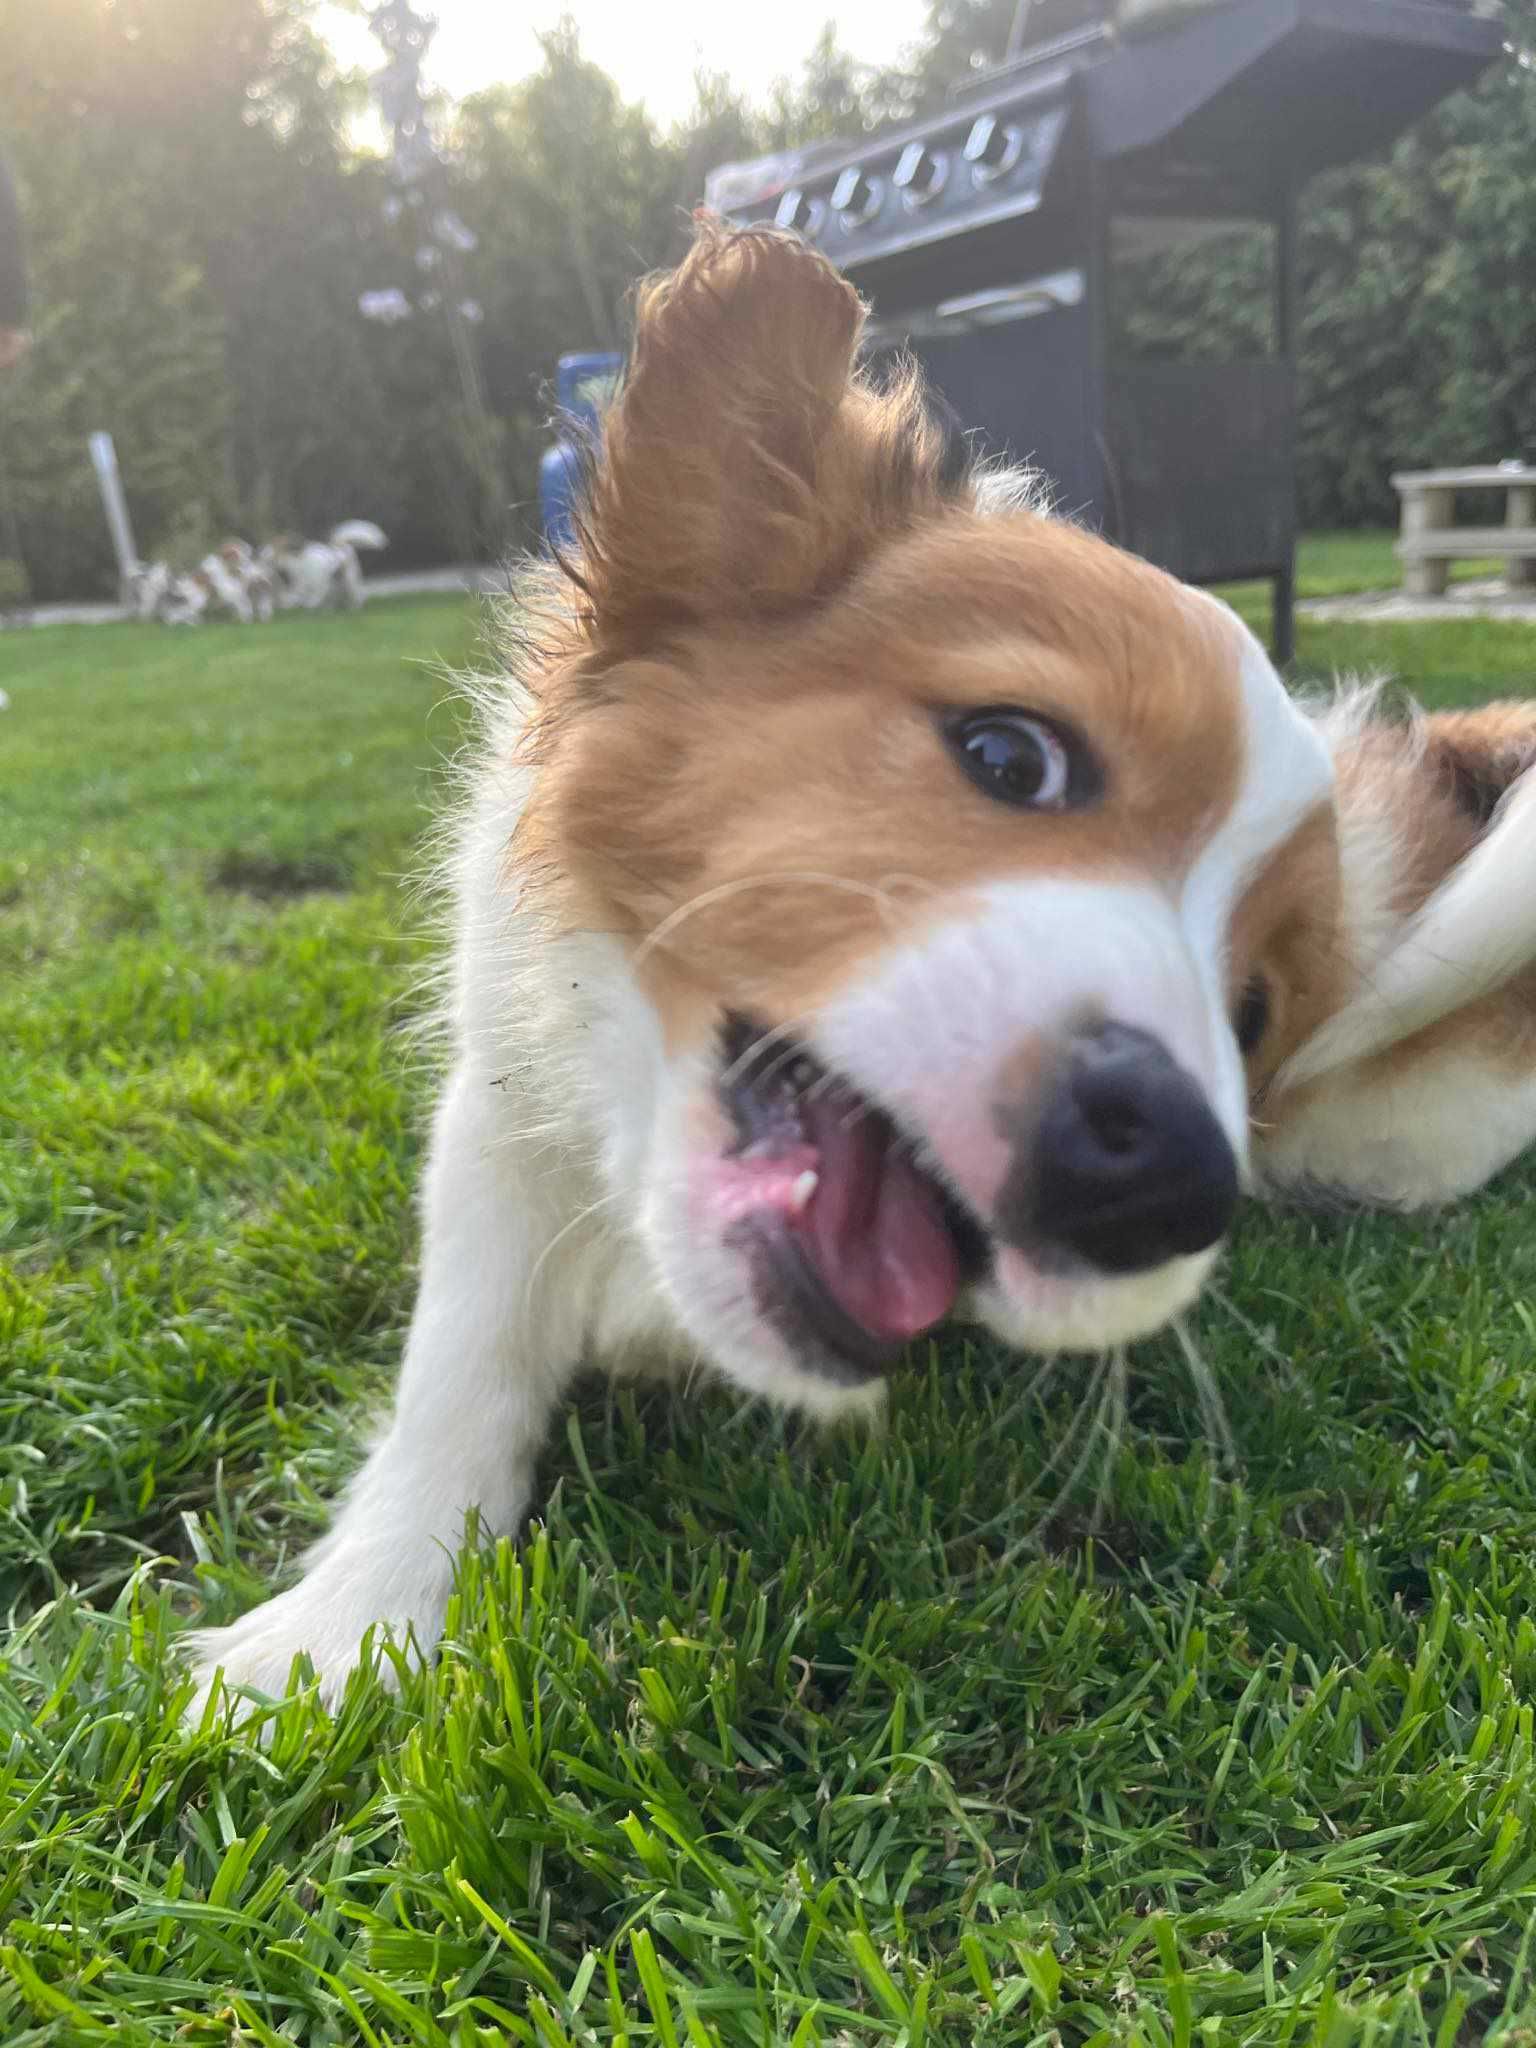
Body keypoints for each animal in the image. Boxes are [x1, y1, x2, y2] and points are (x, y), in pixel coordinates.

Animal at [257, 520, 385, 606]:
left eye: (272, 552)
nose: (261, 555)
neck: (297, 565)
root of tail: (340, 544)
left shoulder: (314, 588)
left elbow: (309, 602)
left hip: (350, 577)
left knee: (356, 595)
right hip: (338, 581)